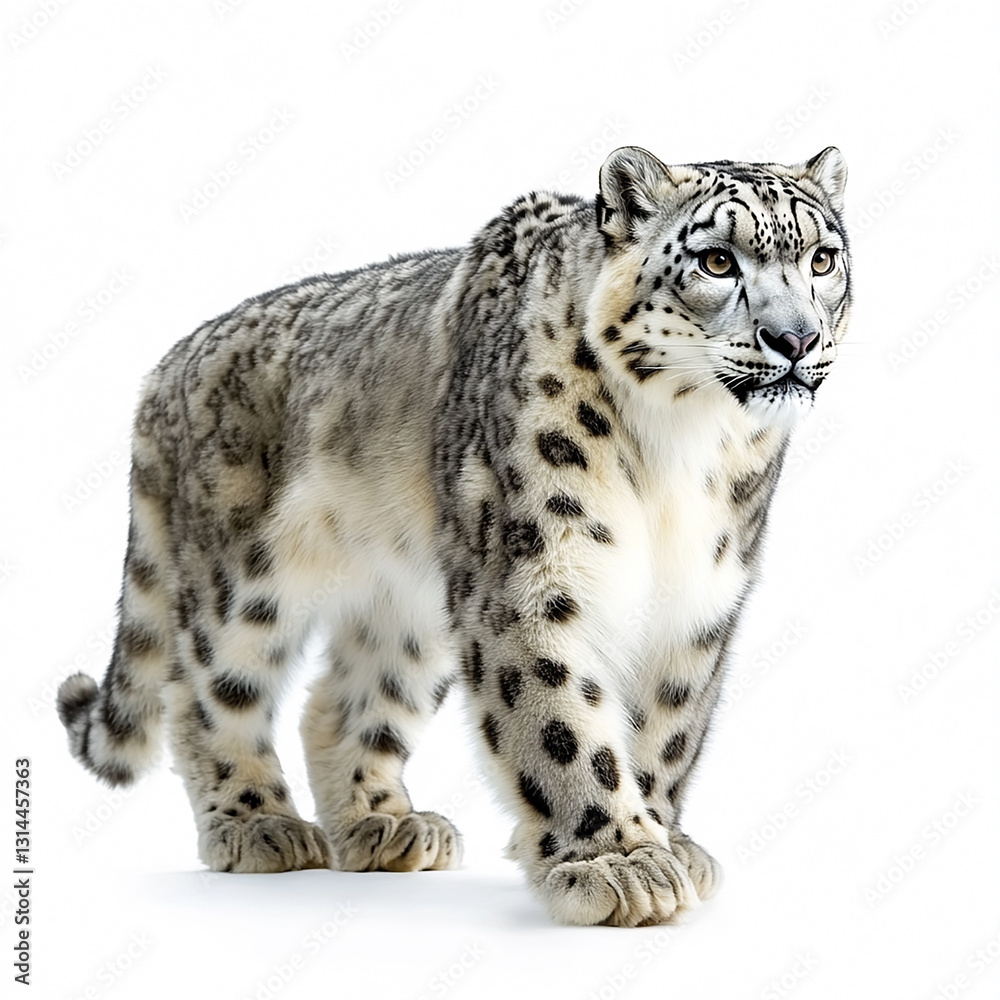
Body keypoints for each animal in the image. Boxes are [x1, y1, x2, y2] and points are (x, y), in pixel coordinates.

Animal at [57, 145, 850, 927]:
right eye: (717, 260)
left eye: (822, 259)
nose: (796, 338)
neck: (683, 445)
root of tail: (167, 369)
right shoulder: (530, 573)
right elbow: (562, 722)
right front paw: (617, 861)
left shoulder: (700, 596)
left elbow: (668, 727)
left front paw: (664, 839)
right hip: (245, 575)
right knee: (207, 689)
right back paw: (259, 824)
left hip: (406, 607)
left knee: (344, 701)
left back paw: (385, 824)